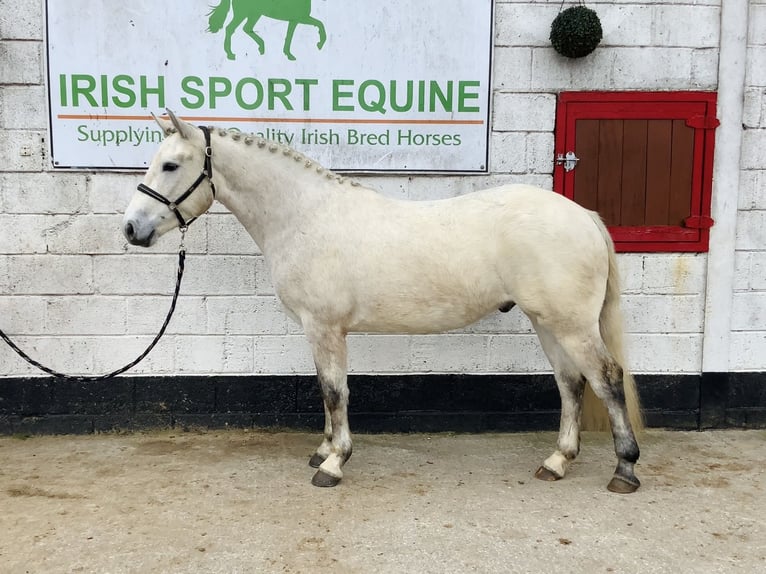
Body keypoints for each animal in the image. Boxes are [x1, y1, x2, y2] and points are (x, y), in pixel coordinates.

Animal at [123, 110, 643, 494]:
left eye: (171, 165)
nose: (131, 229)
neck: (305, 216)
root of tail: (583, 215)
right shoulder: (319, 330)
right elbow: (325, 390)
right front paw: (323, 450)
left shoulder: (326, 327)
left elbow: (336, 391)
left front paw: (333, 464)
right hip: (547, 321)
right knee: (571, 383)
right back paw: (557, 462)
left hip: (570, 323)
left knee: (606, 378)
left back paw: (625, 470)